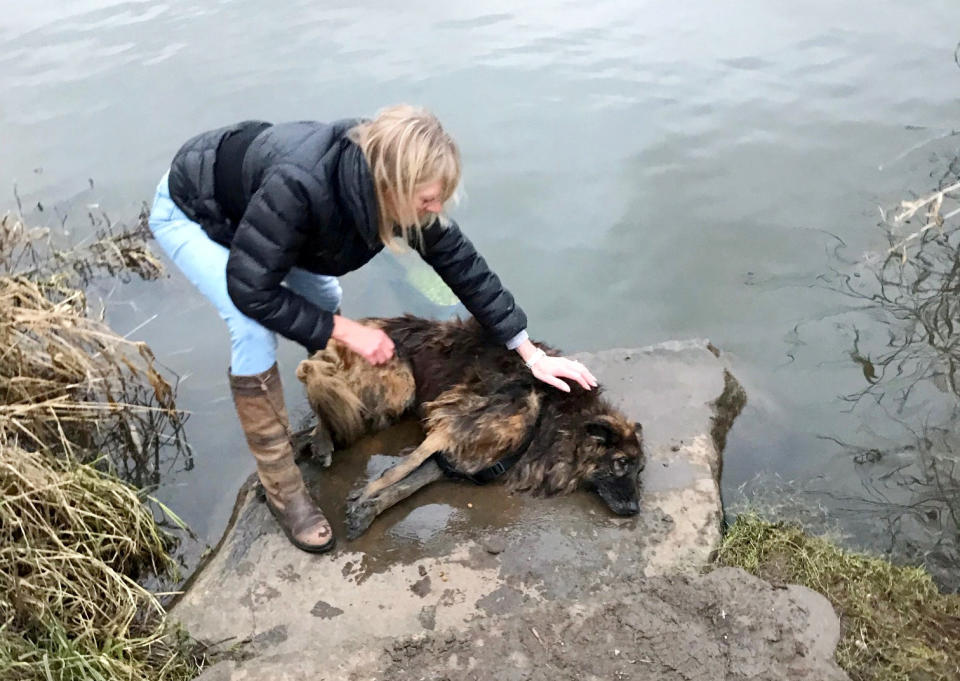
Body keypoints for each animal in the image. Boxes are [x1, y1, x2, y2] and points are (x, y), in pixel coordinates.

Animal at [298, 316, 644, 540]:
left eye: (640, 471)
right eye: (621, 463)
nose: (635, 510)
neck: (553, 417)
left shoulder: (457, 456)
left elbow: (406, 486)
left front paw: (370, 508)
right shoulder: (451, 421)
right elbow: (398, 470)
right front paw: (366, 495)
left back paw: (314, 443)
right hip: (398, 387)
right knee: (321, 386)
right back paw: (321, 441)